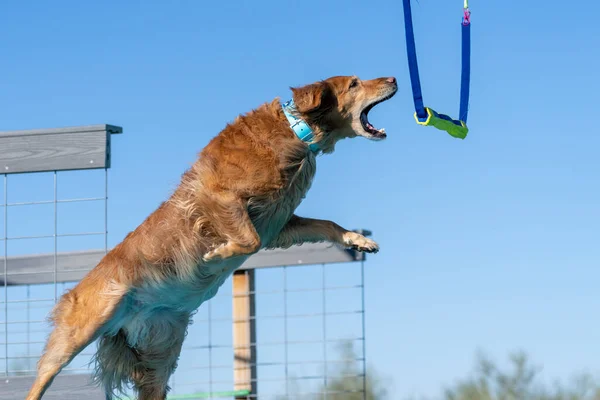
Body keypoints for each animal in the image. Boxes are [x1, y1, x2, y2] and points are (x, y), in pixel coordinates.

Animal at [25, 73, 396, 398]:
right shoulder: (216, 196)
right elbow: (248, 239)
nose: (393, 78)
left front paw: (359, 240)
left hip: (160, 355)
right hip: (86, 324)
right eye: (354, 83)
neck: (298, 131)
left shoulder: (280, 226)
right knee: (42, 375)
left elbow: (326, 224)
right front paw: (217, 254)